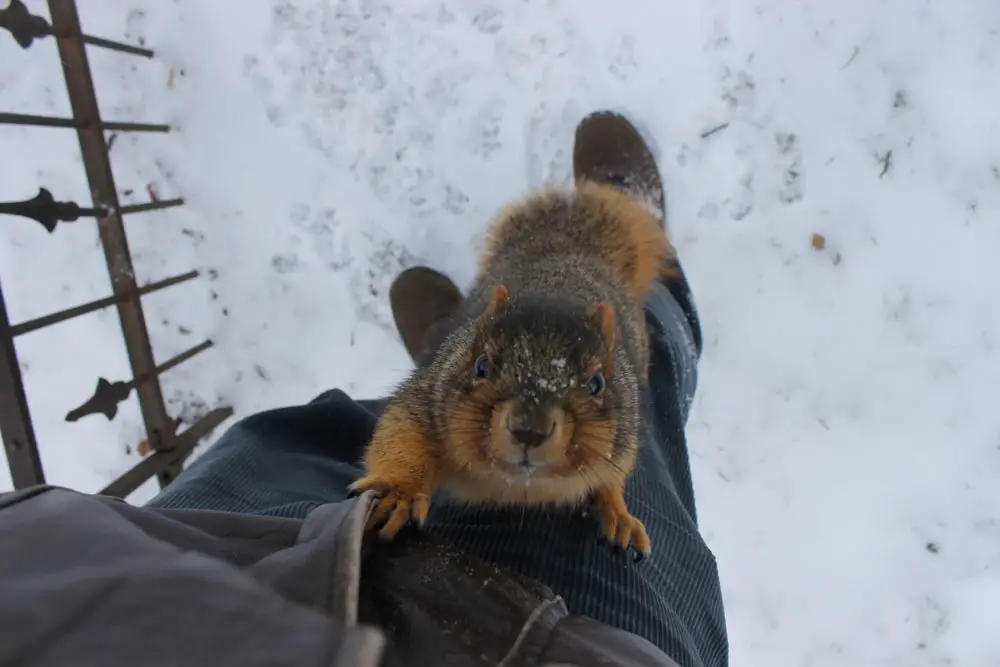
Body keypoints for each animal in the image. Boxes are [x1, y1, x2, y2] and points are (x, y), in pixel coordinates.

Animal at [348, 180, 676, 560]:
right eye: (481, 365)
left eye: (597, 383)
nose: (529, 430)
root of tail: (570, 246)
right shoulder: (428, 397)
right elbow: (401, 434)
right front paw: (397, 492)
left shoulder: (624, 438)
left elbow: (613, 477)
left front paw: (620, 516)